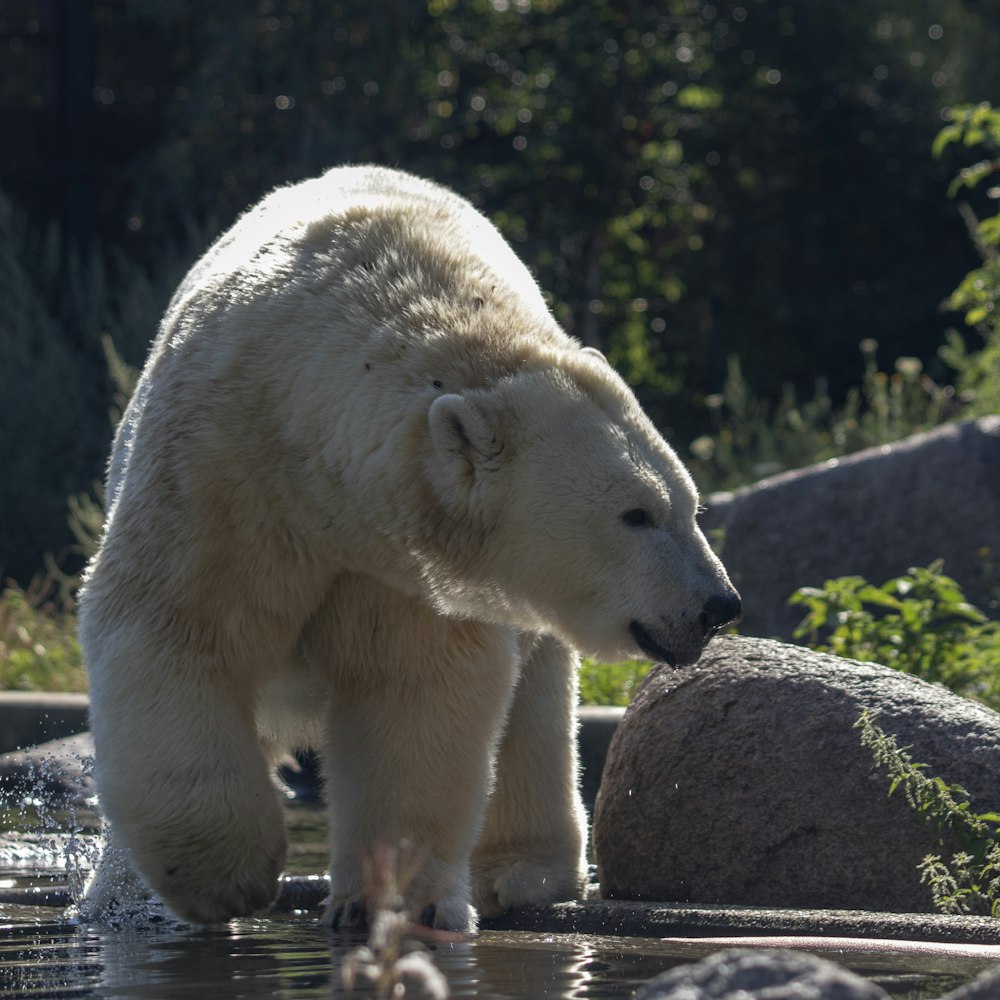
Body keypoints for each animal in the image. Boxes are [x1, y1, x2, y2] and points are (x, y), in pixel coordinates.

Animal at [80, 166, 744, 928]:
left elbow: (413, 690)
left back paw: (527, 872)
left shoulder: (406, 568)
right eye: (637, 514)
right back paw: (114, 896)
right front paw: (224, 874)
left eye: (690, 505)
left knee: (537, 704)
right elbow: (176, 628)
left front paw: (398, 903)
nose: (718, 605)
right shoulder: (218, 478)